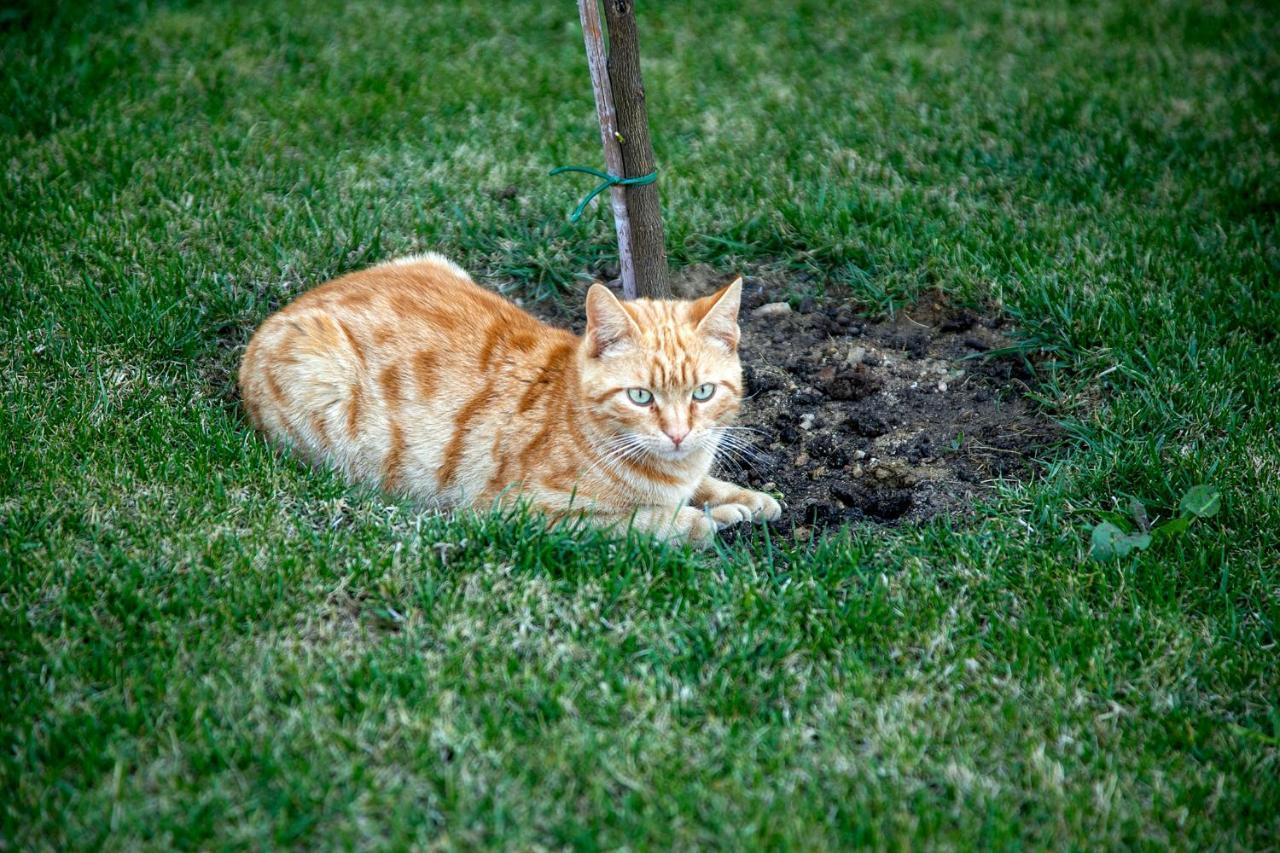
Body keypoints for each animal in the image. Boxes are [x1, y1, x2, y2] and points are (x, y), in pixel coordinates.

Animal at [239, 253, 778, 545]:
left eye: (703, 392)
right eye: (641, 396)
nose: (678, 433)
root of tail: (273, 320)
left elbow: (706, 487)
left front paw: (747, 499)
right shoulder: (528, 515)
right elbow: (651, 522)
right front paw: (711, 520)